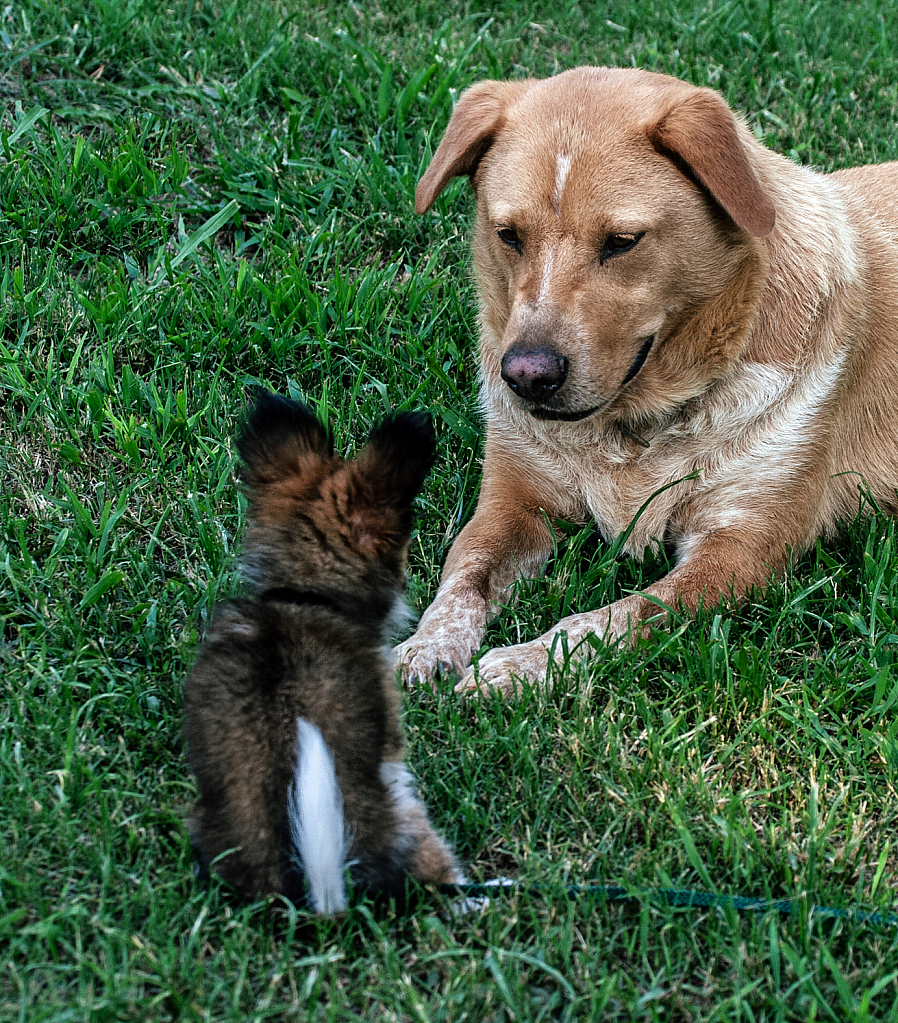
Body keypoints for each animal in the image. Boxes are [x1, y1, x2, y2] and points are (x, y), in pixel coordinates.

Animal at [394, 65, 898, 695]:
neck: (635, 427)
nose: (527, 375)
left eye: (621, 242)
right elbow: (465, 574)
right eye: (508, 234)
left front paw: (522, 666)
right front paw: (426, 646)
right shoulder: (514, 503)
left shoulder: (741, 549)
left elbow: (614, 619)